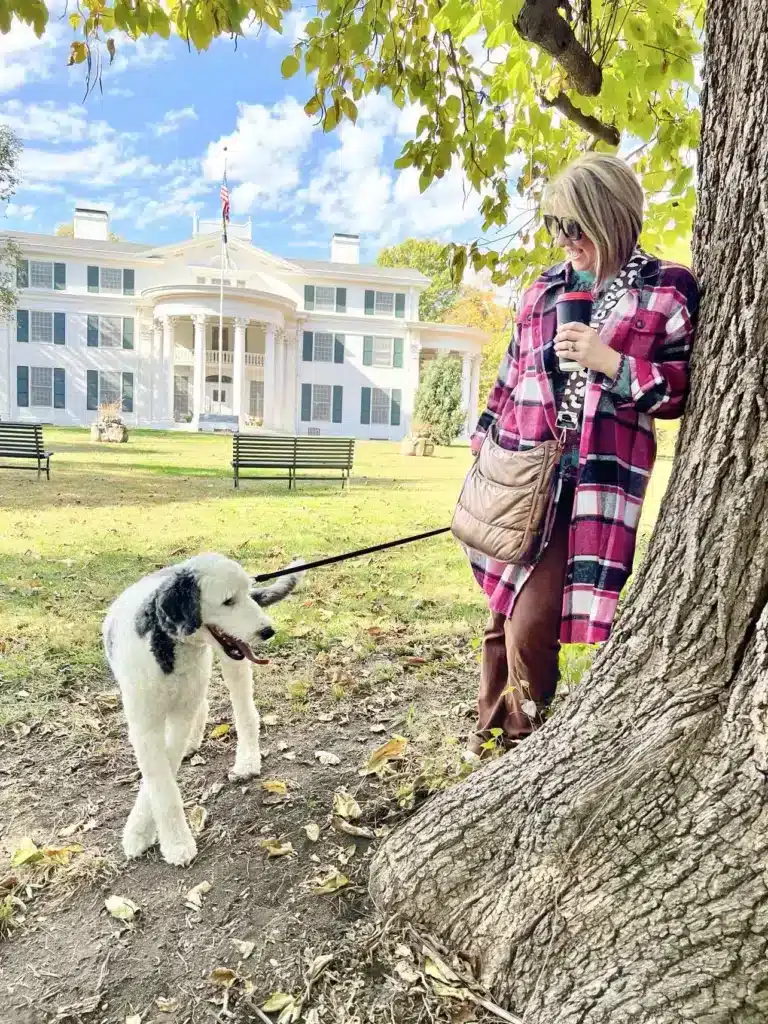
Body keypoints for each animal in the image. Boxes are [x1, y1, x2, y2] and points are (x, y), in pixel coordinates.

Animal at [103, 552, 303, 864]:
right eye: (228, 601)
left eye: (248, 593)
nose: (268, 631)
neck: (168, 650)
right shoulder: (144, 725)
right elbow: (160, 781)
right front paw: (147, 835)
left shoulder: (178, 717)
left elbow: (164, 778)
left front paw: (166, 838)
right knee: (203, 702)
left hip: (232, 665)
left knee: (244, 713)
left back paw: (247, 759)